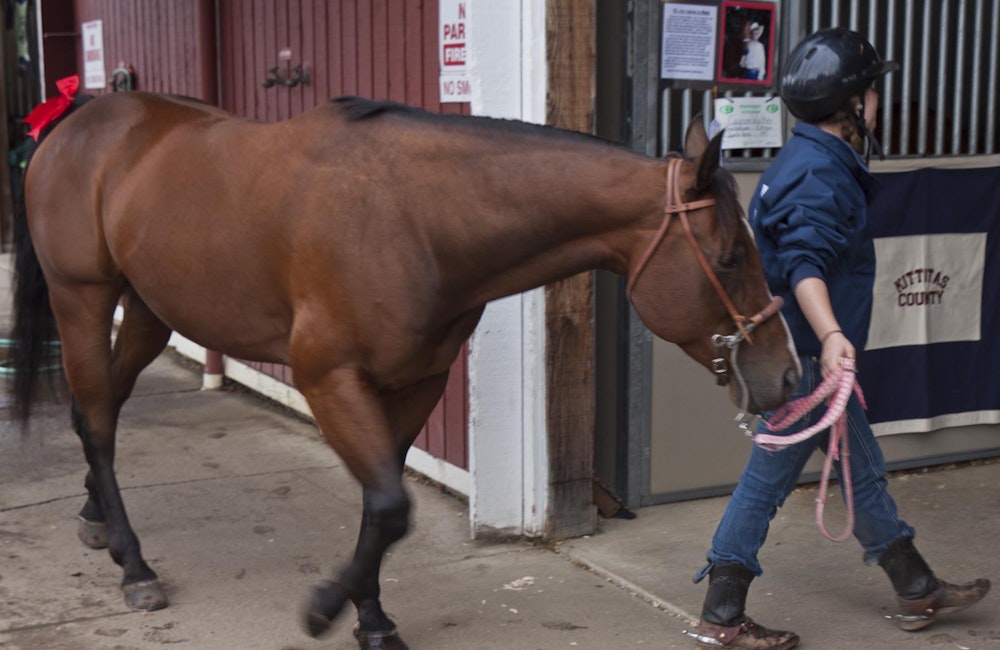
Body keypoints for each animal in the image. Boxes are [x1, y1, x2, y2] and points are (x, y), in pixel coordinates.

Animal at [11, 89, 799, 648]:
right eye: (731, 256)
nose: (788, 375)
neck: (413, 216)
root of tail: (81, 117)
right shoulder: (329, 380)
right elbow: (390, 505)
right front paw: (325, 609)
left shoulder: (418, 382)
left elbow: (379, 508)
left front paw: (371, 618)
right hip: (84, 300)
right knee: (100, 420)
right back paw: (135, 567)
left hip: (148, 309)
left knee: (98, 410)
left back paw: (95, 521)